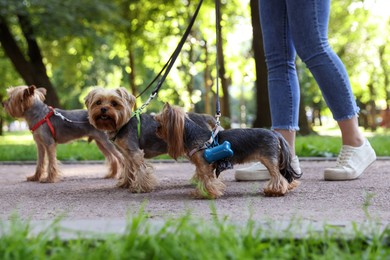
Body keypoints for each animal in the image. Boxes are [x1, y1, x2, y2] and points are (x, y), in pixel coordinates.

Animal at [84, 87, 216, 193]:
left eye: (114, 103)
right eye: (98, 102)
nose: (103, 109)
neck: (122, 124)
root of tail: (203, 116)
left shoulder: (135, 152)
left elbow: (140, 170)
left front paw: (141, 188)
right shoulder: (127, 154)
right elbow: (128, 169)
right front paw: (125, 183)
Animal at [155, 103, 302, 199]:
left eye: (159, 122)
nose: (156, 130)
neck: (192, 134)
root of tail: (275, 133)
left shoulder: (204, 165)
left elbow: (207, 180)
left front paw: (206, 194)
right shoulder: (203, 166)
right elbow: (203, 178)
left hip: (269, 159)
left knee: (278, 176)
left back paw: (275, 191)